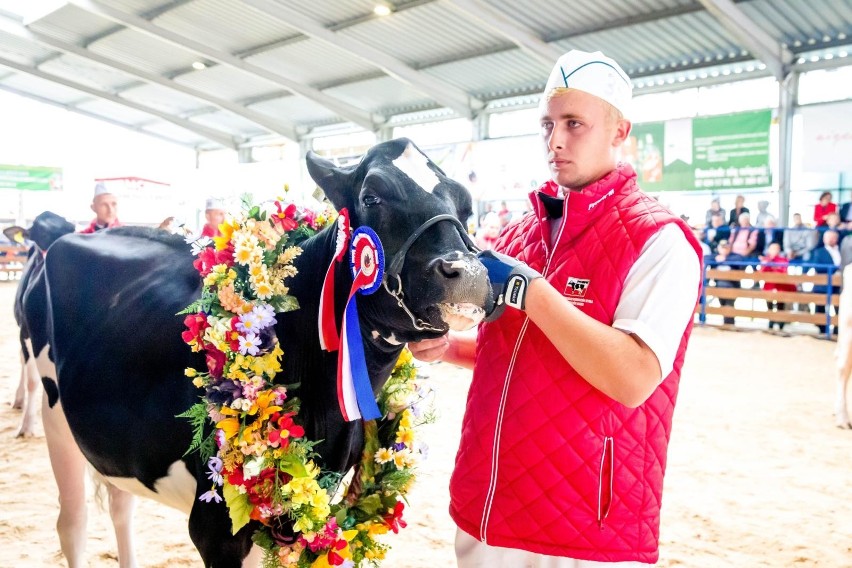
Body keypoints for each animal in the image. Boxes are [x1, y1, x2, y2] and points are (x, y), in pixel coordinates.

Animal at [41, 139, 492, 568]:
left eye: (466, 206)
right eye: (372, 196)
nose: (467, 274)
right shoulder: (215, 529)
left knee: (120, 505)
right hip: (55, 418)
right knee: (72, 523)